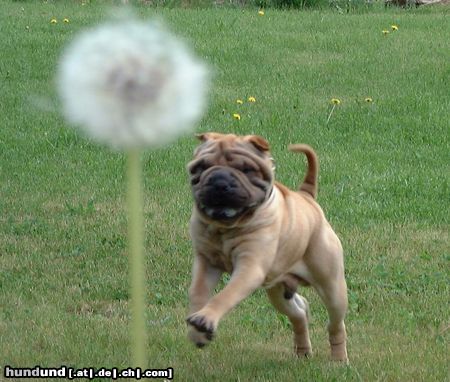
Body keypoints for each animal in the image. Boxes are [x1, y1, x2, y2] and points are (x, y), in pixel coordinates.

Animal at [186, 134, 348, 362]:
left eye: (246, 170)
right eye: (202, 167)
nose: (219, 181)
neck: (225, 228)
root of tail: (307, 197)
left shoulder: (249, 268)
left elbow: (225, 295)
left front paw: (205, 318)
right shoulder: (206, 262)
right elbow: (197, 292)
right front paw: (197, 330)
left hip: (332, 288)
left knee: (335, 324)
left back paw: (339, 359)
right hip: (279, 292)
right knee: (300, 312)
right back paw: (302, 351)